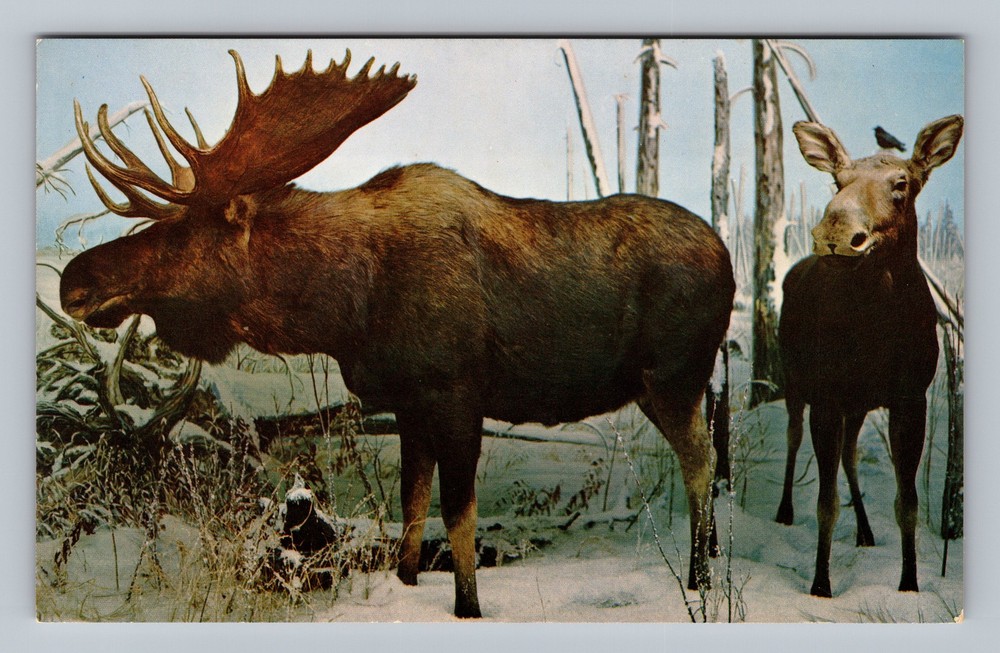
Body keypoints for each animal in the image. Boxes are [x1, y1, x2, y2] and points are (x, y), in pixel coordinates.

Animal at [59, 50, 736, 618]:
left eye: (178, 233)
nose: (72, 281)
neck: (345, 312)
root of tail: (729, 259)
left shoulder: (458, 390)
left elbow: (457, 515)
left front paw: (469, 606)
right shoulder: (409, 402)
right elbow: (411, 507)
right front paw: (408, 584)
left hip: (673, 374)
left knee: (701, 460)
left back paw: (700, 578)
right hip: (671, 383)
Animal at [774, 115, 963, 597]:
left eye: (902, 183)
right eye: (836, 181)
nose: (837, 234)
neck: (877, 331)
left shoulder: (910, 398)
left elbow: (907, 501)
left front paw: (909, 582)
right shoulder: (827, 396)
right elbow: (825, 502)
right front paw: (820, 584)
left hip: (857, 405)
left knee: (850, 455)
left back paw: (865, 531)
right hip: (795, 380)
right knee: (792, 437)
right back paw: (784, 510)